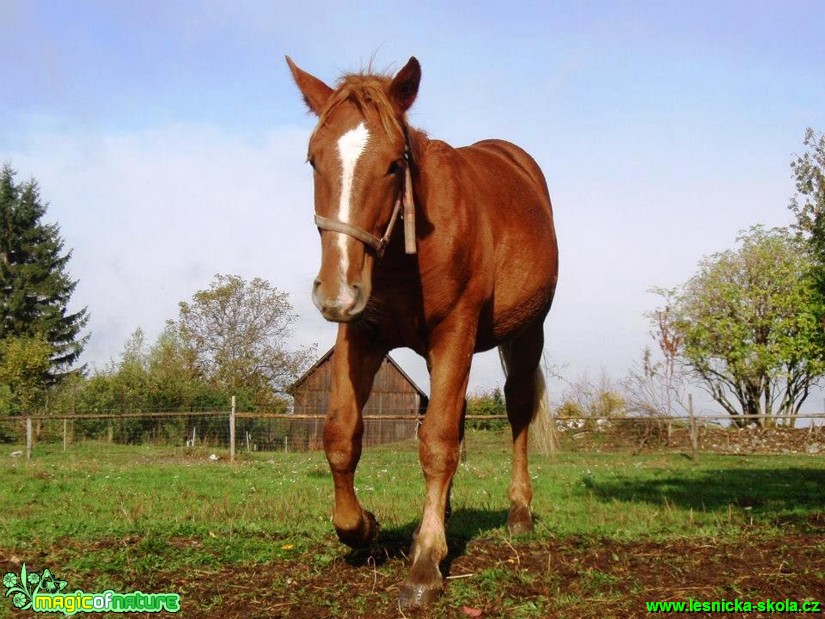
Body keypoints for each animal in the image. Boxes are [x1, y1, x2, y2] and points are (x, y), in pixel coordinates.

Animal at [284, 55, 560, 608]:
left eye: (395, 164)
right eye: (313, 160)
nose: (334, 292)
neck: (403, 254)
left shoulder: (454, 332)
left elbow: (435, 442)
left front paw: (426, 563)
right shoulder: (361, 335)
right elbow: (342, 434)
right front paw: (363, 527)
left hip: (527, 333)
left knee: (517, 408)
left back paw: (518, 513)